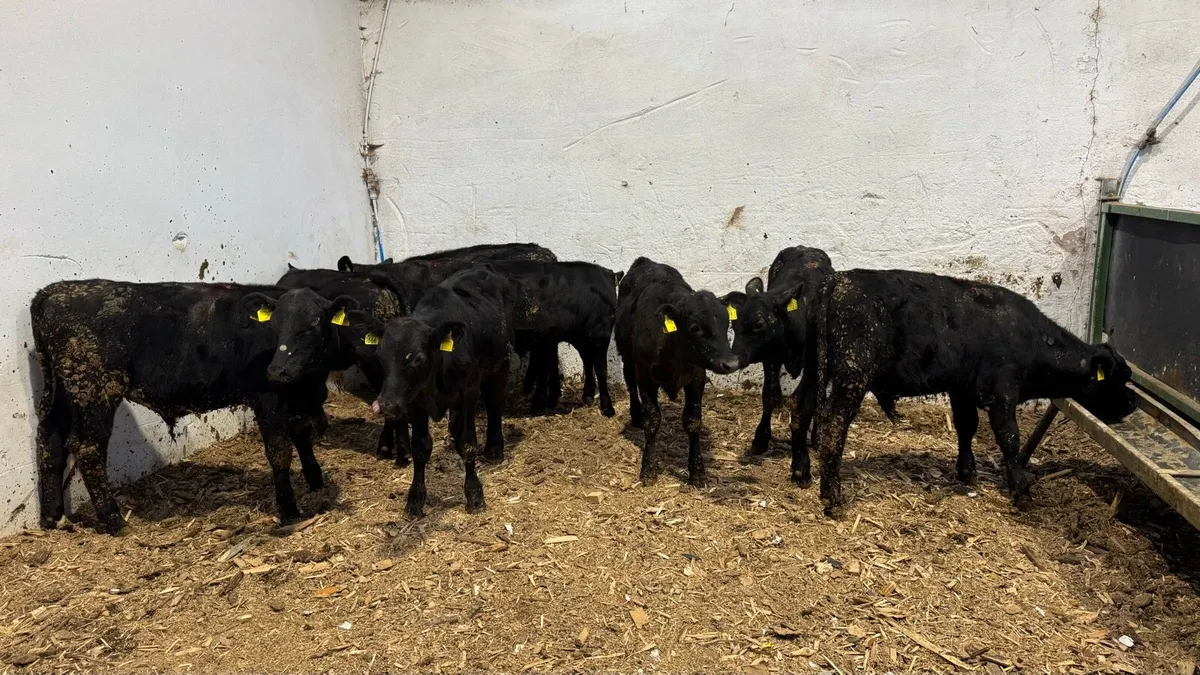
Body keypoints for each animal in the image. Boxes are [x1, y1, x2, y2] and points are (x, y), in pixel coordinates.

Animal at [31, 280, 328, 533]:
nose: (280, 367)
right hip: (95, 390)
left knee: (50, 438)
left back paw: (52, 516)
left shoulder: (295, 401)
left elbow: (301, 435)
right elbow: (280, 451)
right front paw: (289, 510)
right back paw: (113, 519)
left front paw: (315, 480)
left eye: (315, 325)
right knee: (86, 446)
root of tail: (56, 290)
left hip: (66, 392)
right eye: (276, 327)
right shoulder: (268, 398)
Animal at [345, 267, 517, 517]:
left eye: (418, 358)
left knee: (495, 402)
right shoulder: (415, 402)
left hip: (502, 360)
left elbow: (468, 442)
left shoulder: (469, 391)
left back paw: (494, 449)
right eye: (379, 355)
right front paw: (415, 499)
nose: (386, 405)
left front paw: (474, 494)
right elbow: (420, 447)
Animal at [488, 260, 623, 416]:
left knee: (597, 366)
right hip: (580, 336)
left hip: (596, 334)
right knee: (587, 360)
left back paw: (603, 405)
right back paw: (587, 396)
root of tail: (608, 273)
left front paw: (539, 404)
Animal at [615, 257, 740, 487]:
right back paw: (635, 415)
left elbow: (693, 421)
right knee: (630, 383)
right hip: (627, 358)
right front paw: (648, 469)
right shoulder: (645, 376)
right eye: (695, 327)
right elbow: (652, 420)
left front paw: (697, 472)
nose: (731, 363)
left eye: (727, 322)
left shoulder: (697, 377)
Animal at [808, 269, 1137, 517]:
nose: (1133, 403)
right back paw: (832, 496)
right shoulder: (1002, 393)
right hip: (853, 375)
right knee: (833, 423)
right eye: (1117, 379)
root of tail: (841, 279)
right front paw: (1021, 490)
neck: (1030, 338)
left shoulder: (962, 390)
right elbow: (1009, 439)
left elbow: (966, 427)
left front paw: (967, 472)